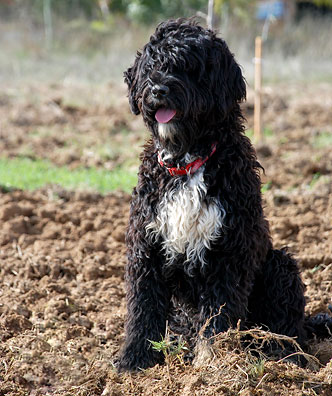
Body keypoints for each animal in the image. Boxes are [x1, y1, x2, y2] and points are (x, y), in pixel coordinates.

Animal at [116, 17, 332, 372]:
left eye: (189, 67)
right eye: (152, 66)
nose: (158, 89)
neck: (188, 160)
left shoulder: (228, 251)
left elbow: (219, 314)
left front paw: (212, 364)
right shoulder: (146, 246)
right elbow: (142, 310)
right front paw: (134, 360)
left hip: (279, 265)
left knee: (289, 328)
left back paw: (282, 355)